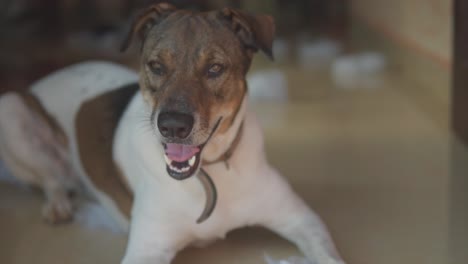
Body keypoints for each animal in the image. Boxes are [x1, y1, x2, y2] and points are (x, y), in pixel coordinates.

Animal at [0, 2, 344, 264]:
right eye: (156, 65)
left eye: (215, 68)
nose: (173, 126)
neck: (208, 175)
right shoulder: (147, 250)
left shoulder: (302, 218)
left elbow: (329, 256)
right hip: (10, 108)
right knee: (53, 181)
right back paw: (58, 205)